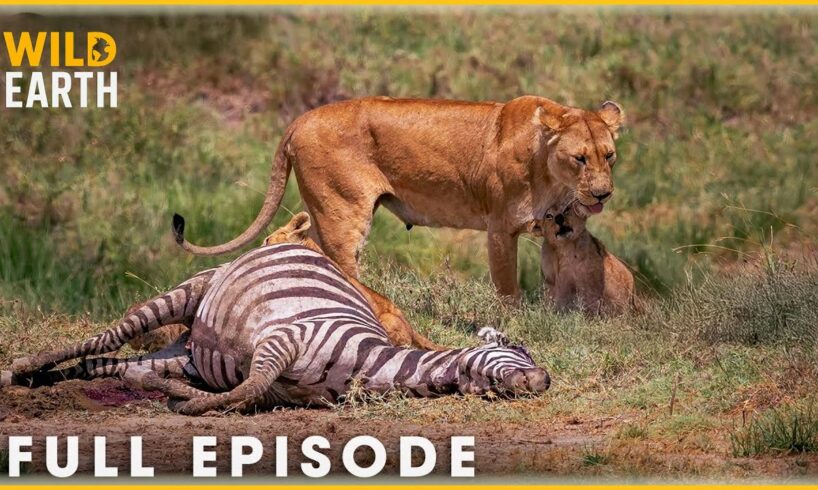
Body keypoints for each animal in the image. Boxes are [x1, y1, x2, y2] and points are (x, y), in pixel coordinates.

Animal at [172, 96, 624, 300]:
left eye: (610, 155)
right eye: (580, 158)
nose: (604, 193)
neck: (549, 170)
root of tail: (300, 118)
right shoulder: (499, 229)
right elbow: (507, 288)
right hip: (343, 212)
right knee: (341, 264)